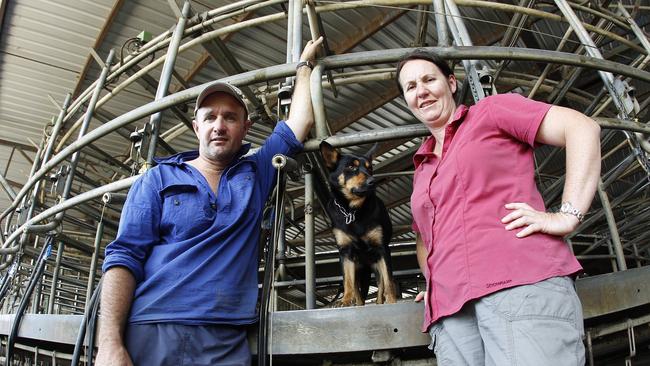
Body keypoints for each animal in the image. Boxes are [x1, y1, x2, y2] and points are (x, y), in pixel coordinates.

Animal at [318, 141, 394, 306]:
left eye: (370, 168)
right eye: (351, 167)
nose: (372, 181)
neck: (352, 210)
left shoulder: (381, 249)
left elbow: (388, 281)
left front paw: (392, 301)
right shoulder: (346, 252)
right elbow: (347, 281)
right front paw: (345, 300)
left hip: (375, 264)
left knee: (381, 285)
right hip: (358, 268)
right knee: (357, 291)